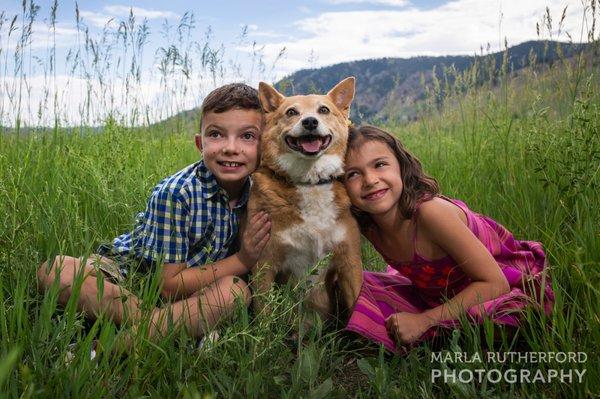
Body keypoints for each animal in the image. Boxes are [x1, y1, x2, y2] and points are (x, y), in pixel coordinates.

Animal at [247, 77, 360, 322]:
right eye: (291, 112)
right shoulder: (264, 265)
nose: (309, 122)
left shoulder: (350, 263)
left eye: (324, 110)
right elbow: (264, 317)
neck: (310, 182)